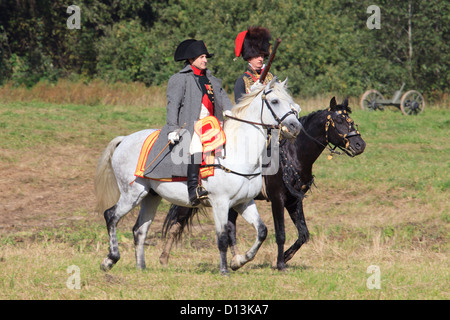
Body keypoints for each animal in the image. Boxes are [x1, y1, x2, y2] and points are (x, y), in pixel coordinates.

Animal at [93, 77, 300, 276]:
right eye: (275, 101)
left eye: (291, 102)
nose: (295, 126)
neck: (237, 153)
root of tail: (124, 140)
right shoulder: (220, 203)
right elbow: (222, 237)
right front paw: (225, 270)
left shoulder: (244, 202)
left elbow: (262, 231)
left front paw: (239, 261)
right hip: (132, 194)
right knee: (111, 216)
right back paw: (110, 259)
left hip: (150, 197)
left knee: (139, 230)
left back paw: (140, 267)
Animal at [158, 97, 366, 270]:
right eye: (339, 121)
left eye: (351, 121)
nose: (360, 145)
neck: (292, 155)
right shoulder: (277, 199)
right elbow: (280, 233)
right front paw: (280, 263)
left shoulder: (294, 201)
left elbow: (303, 234)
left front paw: (286, 257)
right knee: (177, 224)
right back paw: (164, 258)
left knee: (230, 227)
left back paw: (236, 259)